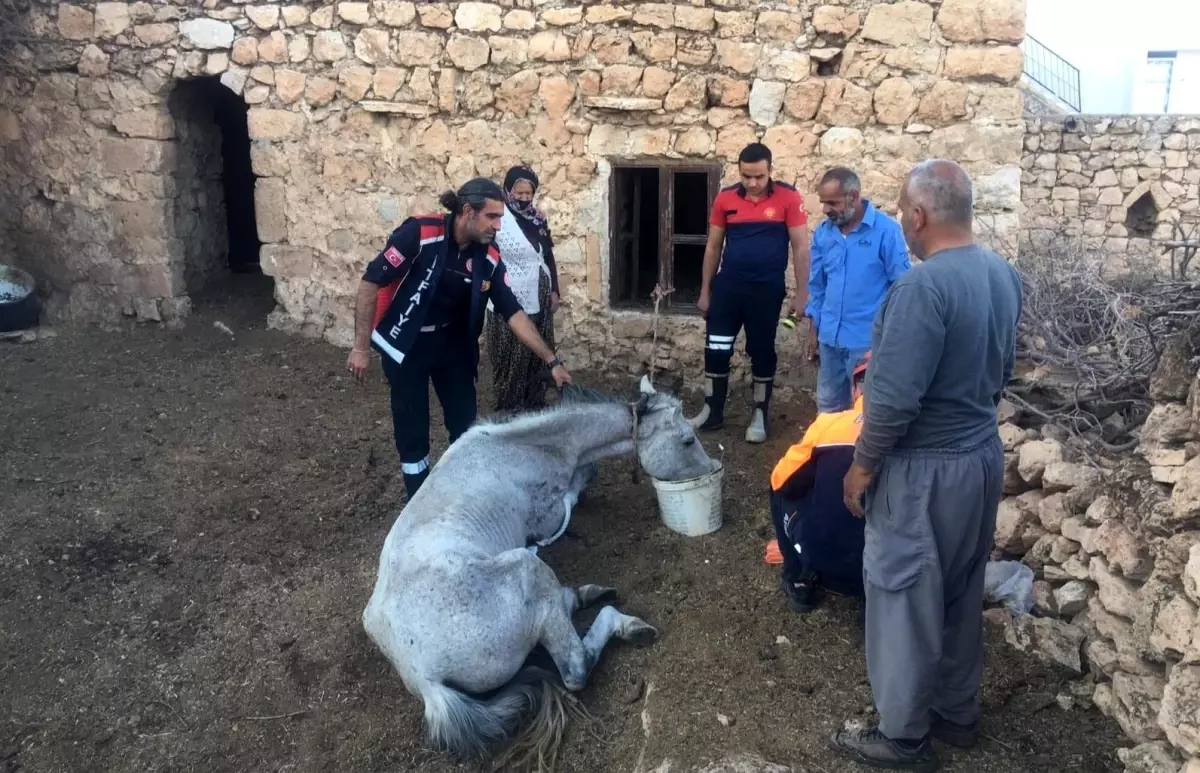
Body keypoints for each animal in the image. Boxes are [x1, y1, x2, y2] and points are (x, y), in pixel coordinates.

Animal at [360, 374, 715, 768]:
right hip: (527, 569)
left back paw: (584, 594)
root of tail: (423, 678)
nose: (712, 469)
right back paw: (626, 624)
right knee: (576, 664)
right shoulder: (549, 517)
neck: (528, 448)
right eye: (688, 440)